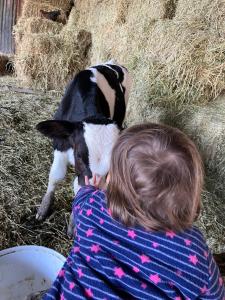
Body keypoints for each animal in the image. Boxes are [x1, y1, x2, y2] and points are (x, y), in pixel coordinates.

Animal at [35, 61, 132, 234]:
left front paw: (74, 221)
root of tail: (111, 63)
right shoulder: (60, 144)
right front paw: (44, 208)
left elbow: (77, 187)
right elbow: (56, 175)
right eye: (79, 156)